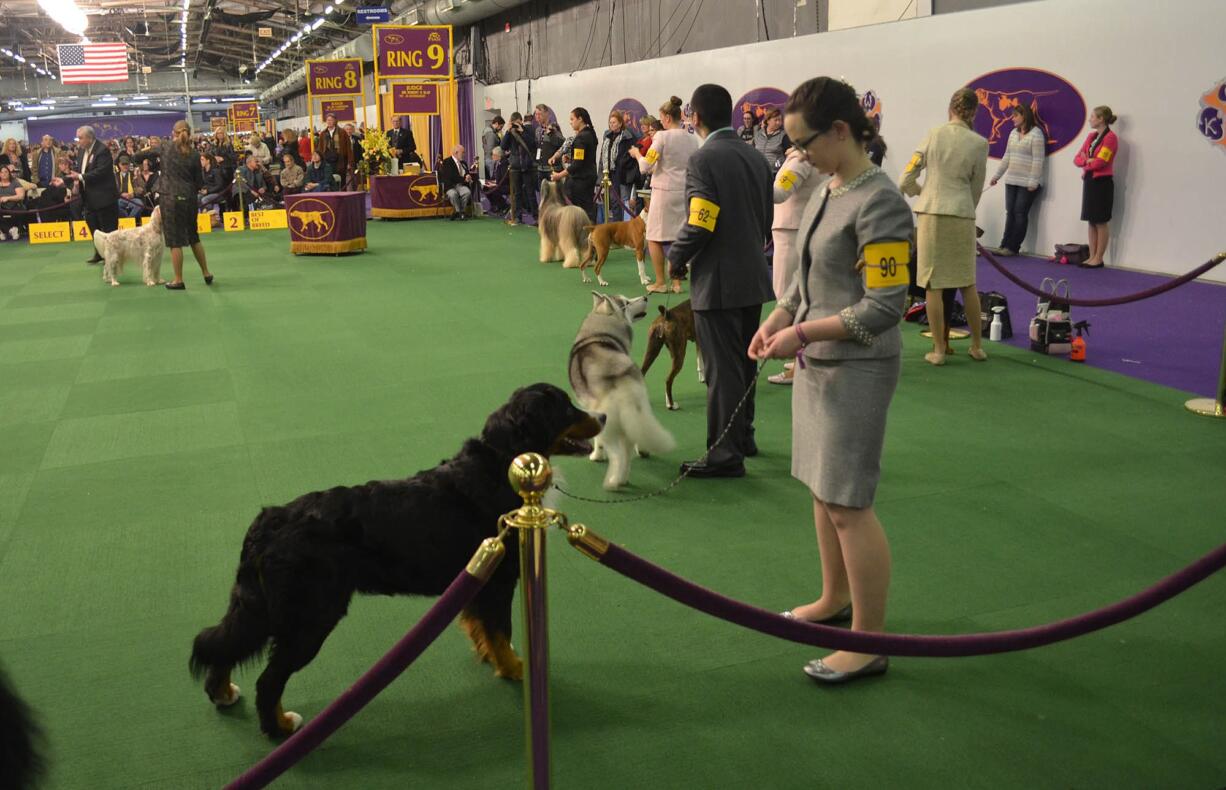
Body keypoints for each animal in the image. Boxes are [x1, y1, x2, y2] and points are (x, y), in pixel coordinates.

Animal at [190, 385, 603, 740]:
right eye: (566, 407)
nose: (601, 415)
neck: (501, 464)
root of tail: (270, 520)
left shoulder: (477, 577)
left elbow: (481, 628)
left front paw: (492, 658)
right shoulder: (499, 580)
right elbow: (501, 631)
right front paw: (517, 669)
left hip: (261, 607)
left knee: (224, 643)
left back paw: (223, 692)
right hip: (310, 617)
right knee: (269, 680)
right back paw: (280, 728)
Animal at [568, 291, 676, 488]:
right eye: (626, 302)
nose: (646, 297)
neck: (601, 333)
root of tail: (622, 377)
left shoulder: (593, 409)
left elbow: (597, 439)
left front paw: (596, 456)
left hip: (611, 423)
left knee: (618, 455)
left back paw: (614, 482)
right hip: (637, 411)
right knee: (630, 445)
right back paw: (625, 475)